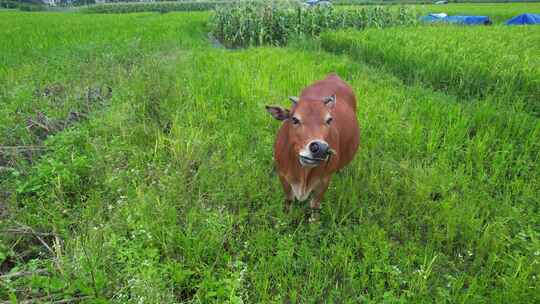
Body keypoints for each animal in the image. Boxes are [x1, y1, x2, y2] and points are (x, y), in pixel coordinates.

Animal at [264, 73, 358, 221]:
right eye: (294, 119)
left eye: (329, 120)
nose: (320, 148)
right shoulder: (282, 175)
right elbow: (288, 199)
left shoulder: (324, 181)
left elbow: (315, 206)